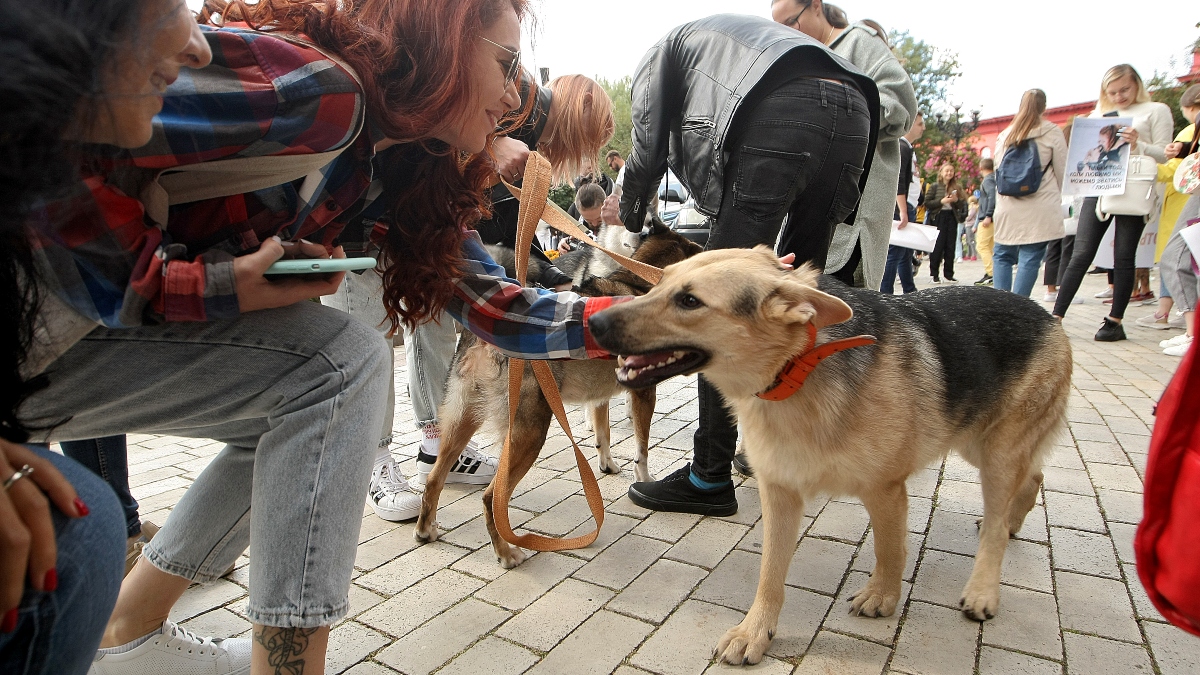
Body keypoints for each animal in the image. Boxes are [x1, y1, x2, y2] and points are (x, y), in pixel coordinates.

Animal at [417, 222, 700, 566]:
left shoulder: (600, 395)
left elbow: (603, 433)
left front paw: (607, 464)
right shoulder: (644, 392)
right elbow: (642, 448)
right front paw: (644, 481)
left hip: (461, 419)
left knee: (434, 478)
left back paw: (425, 530)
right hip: (529, 433)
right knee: (490, 498)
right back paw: (506, 553)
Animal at [585, 246, 1075, 662]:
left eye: (689, 301)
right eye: (660, 283)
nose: (594, 323)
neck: (797, 368)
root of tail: (1046, 315)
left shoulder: (885, 491)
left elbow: (889, 549)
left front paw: (883, 596)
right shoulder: (780, 493)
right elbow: (770, 574)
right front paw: (755, 632)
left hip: (995, 453)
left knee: (997, 521)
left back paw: (983, 588)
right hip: (977, 442)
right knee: (1033, 478)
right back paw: (1014, 521)